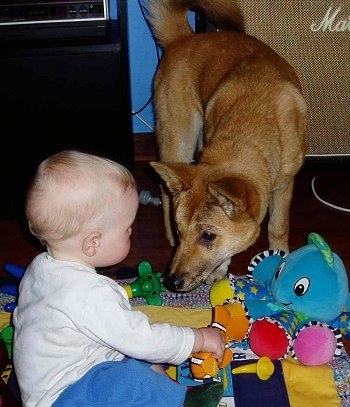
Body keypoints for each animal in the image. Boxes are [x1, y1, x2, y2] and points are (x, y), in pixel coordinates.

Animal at [144, 0, 308, 294]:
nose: (171, 282)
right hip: (177, 138)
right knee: (164, 191)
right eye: (181, 230)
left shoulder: (284, 184)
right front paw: (221, 268)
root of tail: (184, 37)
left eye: (208, 236)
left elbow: (277, 227)